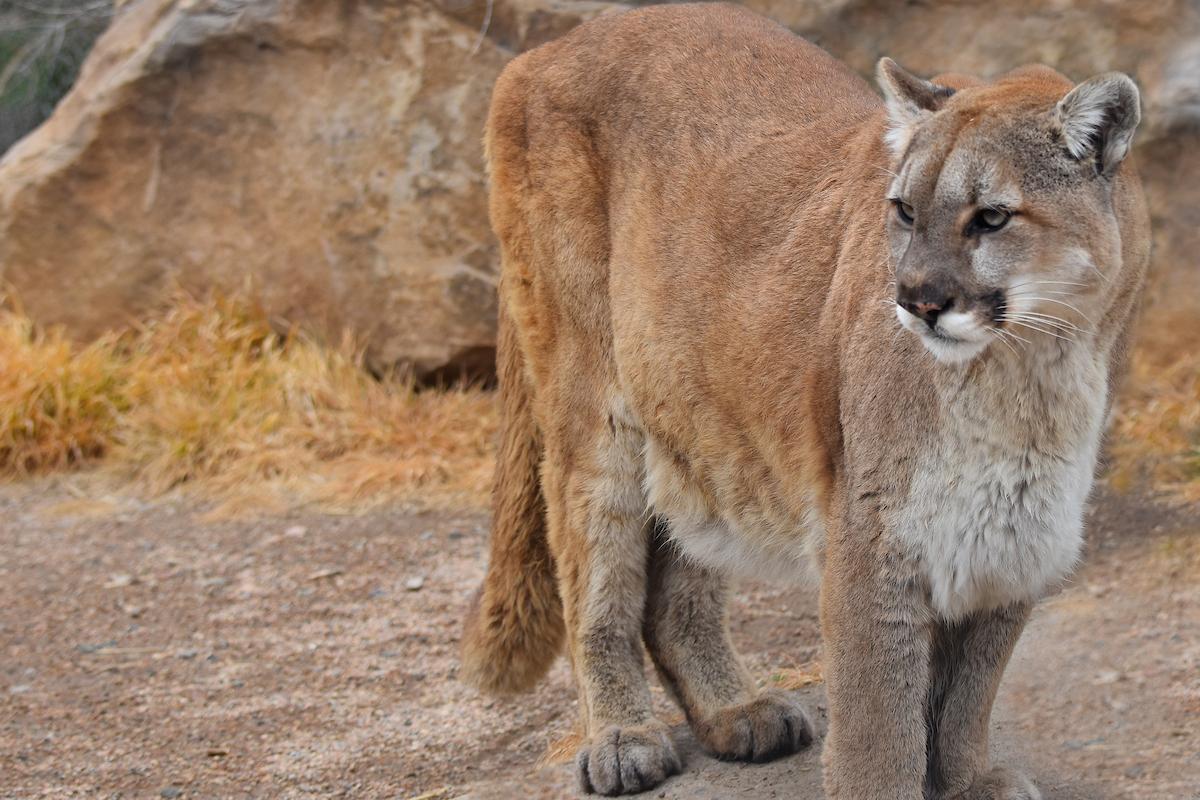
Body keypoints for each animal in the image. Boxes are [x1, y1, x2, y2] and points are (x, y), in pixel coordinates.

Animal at [461, 4, 1149, 798]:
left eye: (992, 218)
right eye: (904, 210)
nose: (916, 300)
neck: (1028, 376)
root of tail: (546, 50)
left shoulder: (1017, 533)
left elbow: (969, 692)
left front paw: (968, 781)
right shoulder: (875, 539)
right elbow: (879, 724)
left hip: (702, 416)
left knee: (675, 582)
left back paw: (737, 711)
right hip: (594, 404)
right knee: (593, 567)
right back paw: (622, 740)